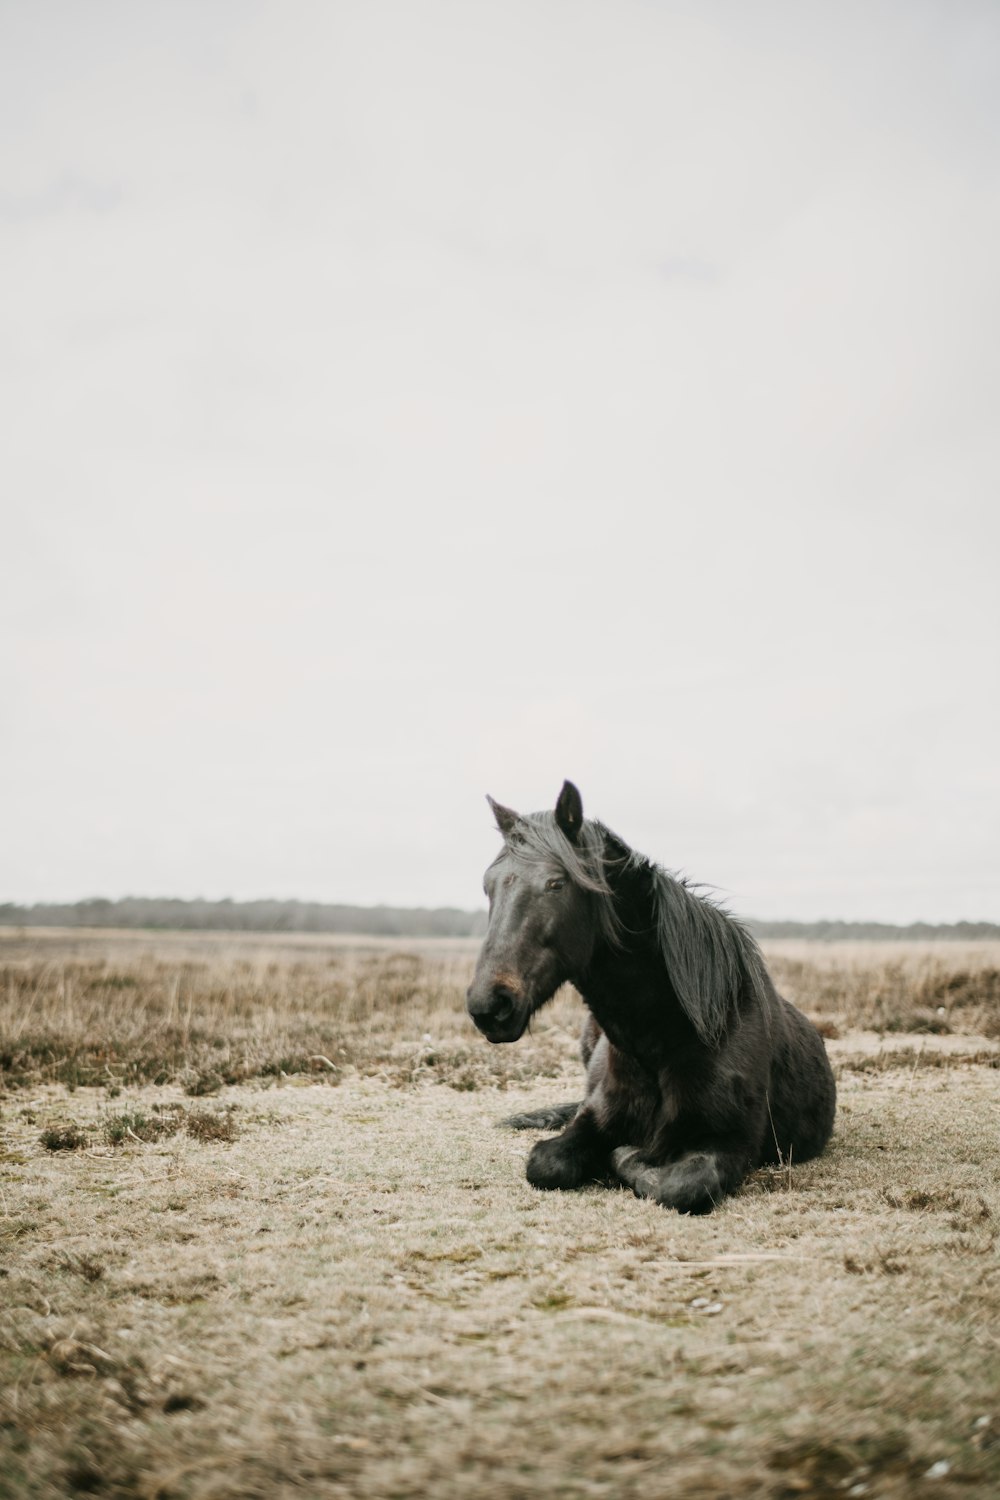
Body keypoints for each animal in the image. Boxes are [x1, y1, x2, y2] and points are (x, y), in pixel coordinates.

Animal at [470, 780, 839, 1212]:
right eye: (488, 886)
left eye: (556, 883)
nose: (489, 1005)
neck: (674, 1034)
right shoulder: (595, 1118)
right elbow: (545, 1162)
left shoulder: (731, 1142)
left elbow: (681, 1184)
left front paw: (624, 1156)